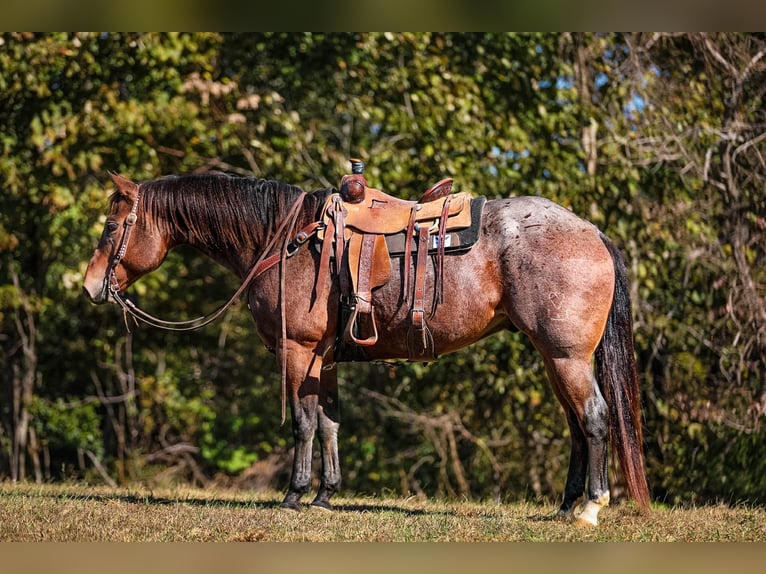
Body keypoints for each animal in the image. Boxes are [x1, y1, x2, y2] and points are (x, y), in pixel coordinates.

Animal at [83, 170, 650, 526]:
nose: (90, 287)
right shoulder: (324, 357)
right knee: (576, 426)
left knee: (595, 417)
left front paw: (294, 494)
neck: (283, 241)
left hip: (566, 357)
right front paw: (325, 495)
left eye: (111, 227)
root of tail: (592, 232)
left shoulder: (297, 350)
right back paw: (565, 507)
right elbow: (329, 421)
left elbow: (302, 422)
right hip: (554, 359)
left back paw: (591, 508)